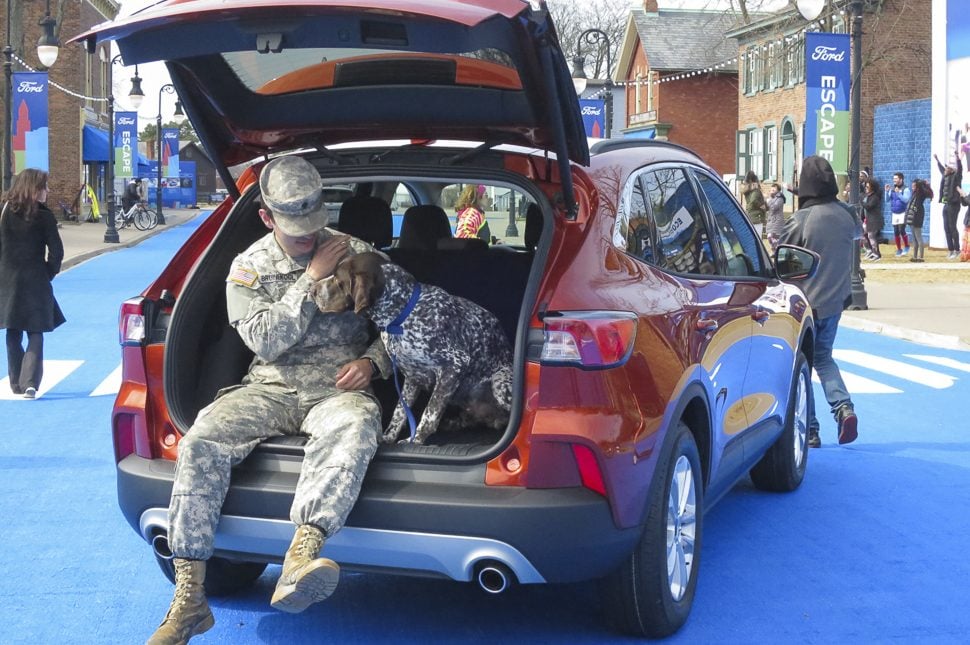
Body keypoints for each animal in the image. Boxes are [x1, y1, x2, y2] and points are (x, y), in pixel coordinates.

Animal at [314, 252, 516, 442]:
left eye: (337, 279)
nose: (313, 289)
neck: (401, 316)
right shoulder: (412, 376)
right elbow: (399, 412)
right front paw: (388, 437)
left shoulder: (454, 366)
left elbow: (430, 413)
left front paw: (416, 440)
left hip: (499, 382)